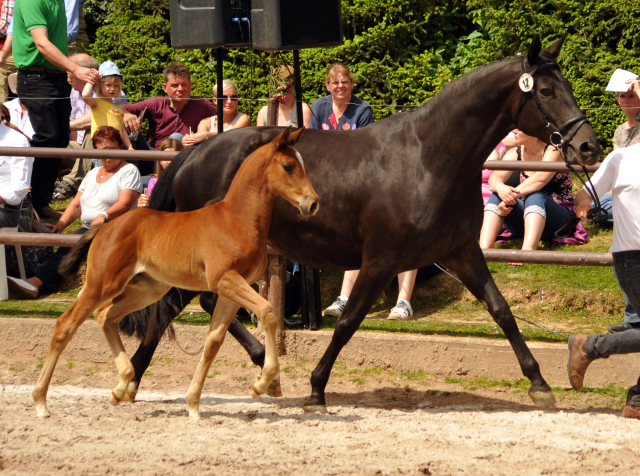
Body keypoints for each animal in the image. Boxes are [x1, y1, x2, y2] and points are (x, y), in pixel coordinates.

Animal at [32, 127, 318, 420]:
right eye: (288, 166)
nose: (312, 203)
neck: (236, 219)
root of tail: (104, 226)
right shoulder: (224, 280)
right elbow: (269, 312)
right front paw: (262, 383)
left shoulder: (231, 288)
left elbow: (213, 341)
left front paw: (193, 404)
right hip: (102, 284)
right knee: (66, 325)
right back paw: (41, 402)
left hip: (147, 290)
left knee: (106, 316)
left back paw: (121, 385)